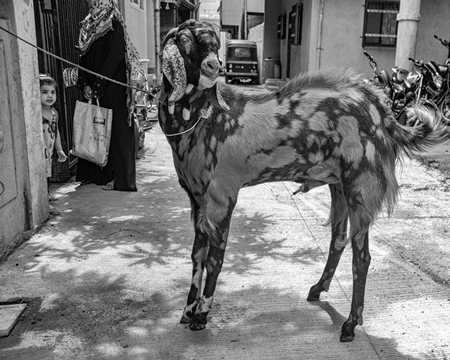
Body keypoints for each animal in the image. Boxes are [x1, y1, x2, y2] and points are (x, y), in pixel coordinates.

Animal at [156, 19, 444, 340]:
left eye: (216, 45)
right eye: (183, 39)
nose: (213, 66)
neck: (206, 117)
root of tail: (385, 114)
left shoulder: (222, 195)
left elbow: (214, 259)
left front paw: (201, 315)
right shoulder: (197, 197)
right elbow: (197, 255)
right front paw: (186, 311)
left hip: (361, 185)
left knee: (362, 256)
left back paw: (351, 324)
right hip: (339, 185)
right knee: (338, 240)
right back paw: (318, 289)